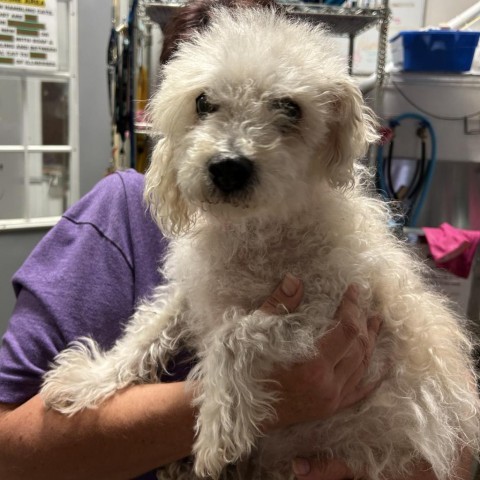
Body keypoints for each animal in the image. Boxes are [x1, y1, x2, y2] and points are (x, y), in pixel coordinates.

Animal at [42, 7, 480, 480]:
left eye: (289, 107)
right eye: (203, 102)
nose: (228, 167)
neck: (255, 233)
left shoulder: (324, 316)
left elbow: (233, 335)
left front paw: (217, 430)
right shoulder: (194, 293)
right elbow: (144, 332)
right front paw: (92, 379)